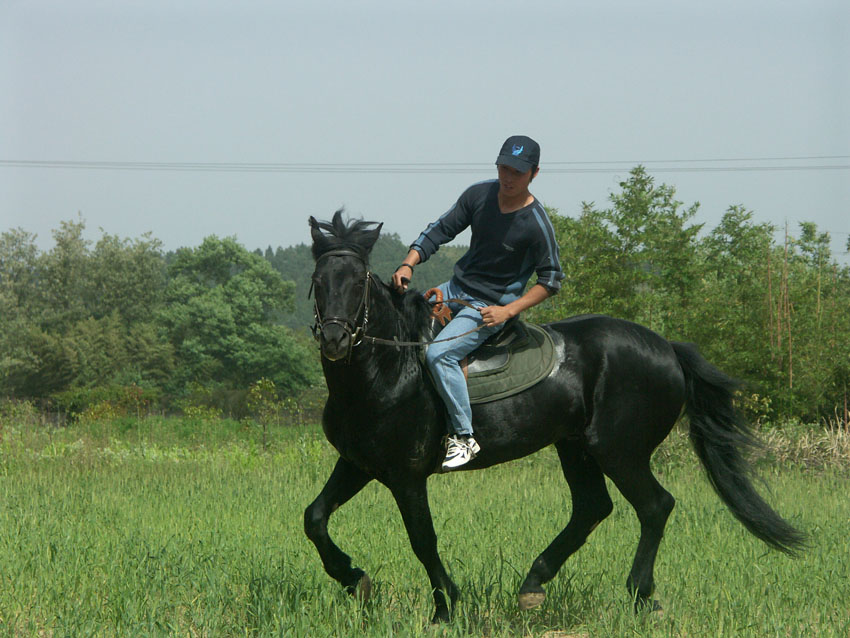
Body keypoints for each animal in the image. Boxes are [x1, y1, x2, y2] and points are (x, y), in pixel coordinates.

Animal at [304, 212, 800, 624]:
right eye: (319, 279)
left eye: (359, 281)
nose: (335, 340)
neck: (390, 367)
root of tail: (668, 349)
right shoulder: (358, 464)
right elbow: (315, 519)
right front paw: (354, 578)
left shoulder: (406, 475)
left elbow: (422, 539)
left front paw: (445, 608)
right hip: (576, 447)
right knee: (593, 508)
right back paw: (533, 585)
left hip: (618, 450)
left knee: (655, 506)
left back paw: (640, 595)